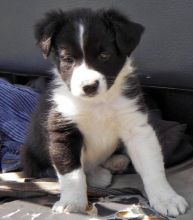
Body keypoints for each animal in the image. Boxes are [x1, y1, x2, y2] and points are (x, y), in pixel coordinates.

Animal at [21, 7, 188, 216]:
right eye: (68, 59)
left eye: (104, 55)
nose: (89, 87)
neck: (97, 103)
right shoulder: (63, 132)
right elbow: (72, 172)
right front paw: (72, 202)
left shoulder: (136, 127)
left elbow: (152, 166)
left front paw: (166, 198)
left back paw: (115, 162)